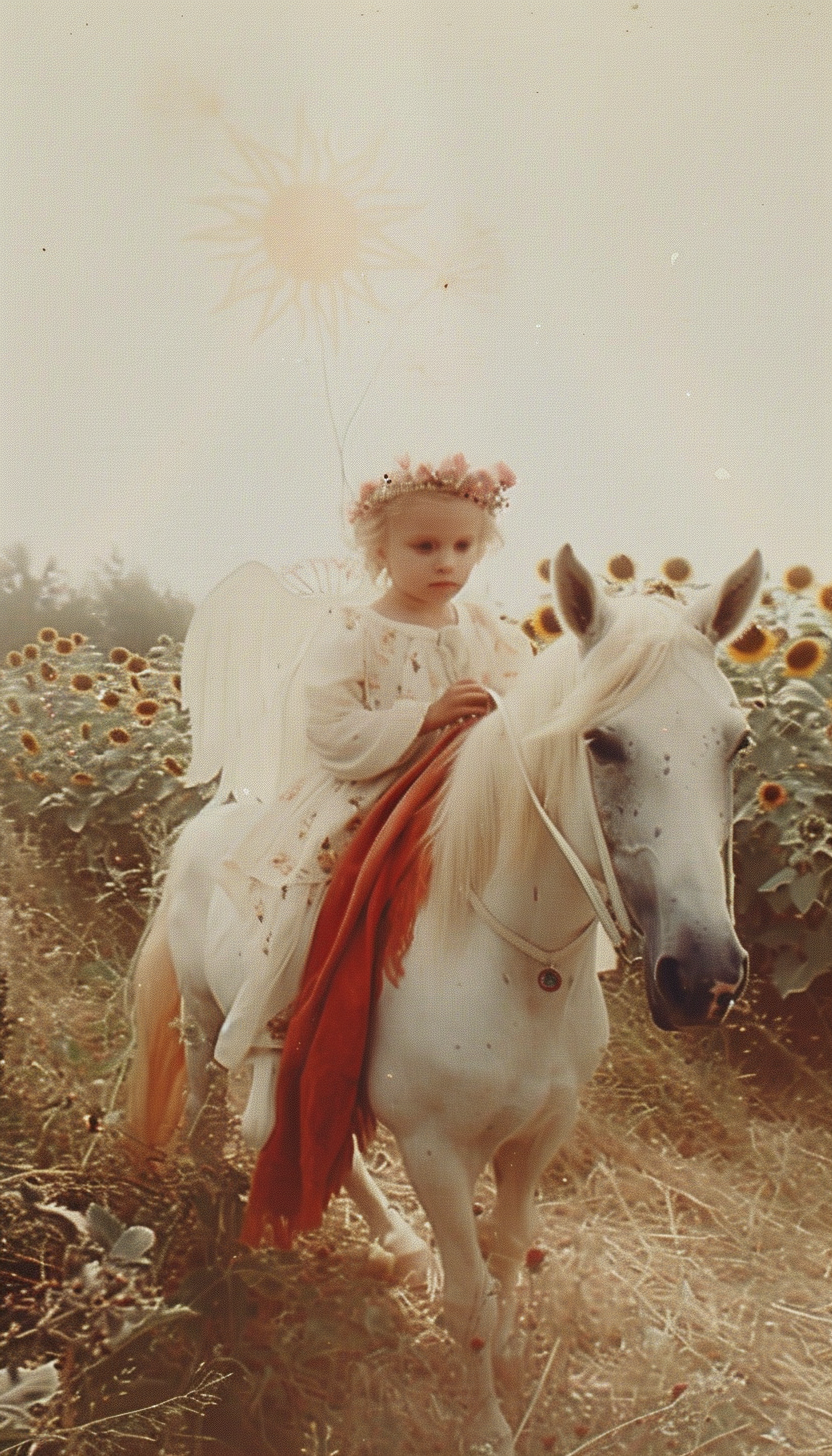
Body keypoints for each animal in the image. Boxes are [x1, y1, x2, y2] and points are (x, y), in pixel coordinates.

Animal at [125, 541, 763, 1450]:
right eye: (602, 741)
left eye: (736, 743)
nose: (703, 974)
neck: (514, 967)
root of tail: (212, 818)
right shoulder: (433, 1150)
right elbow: (469, 1297)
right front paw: (487, 1420)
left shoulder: (540, 1133)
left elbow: (509, 1253)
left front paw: (508, 1360)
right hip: (204, 1016)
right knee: (205, 1089)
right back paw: (189, 1172)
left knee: (300, 1130)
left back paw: (396, 1244)